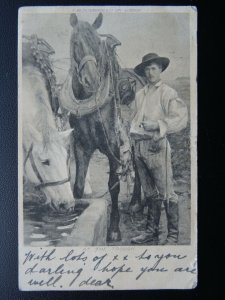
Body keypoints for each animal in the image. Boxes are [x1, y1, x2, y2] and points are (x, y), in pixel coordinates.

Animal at [59, 13, 125, 241]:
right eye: (75, 43)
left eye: (97, 43)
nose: (92, 80)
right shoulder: (81, 147)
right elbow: (77, 187)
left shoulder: (114, 147)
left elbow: (114, 185)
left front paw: (114, 229)